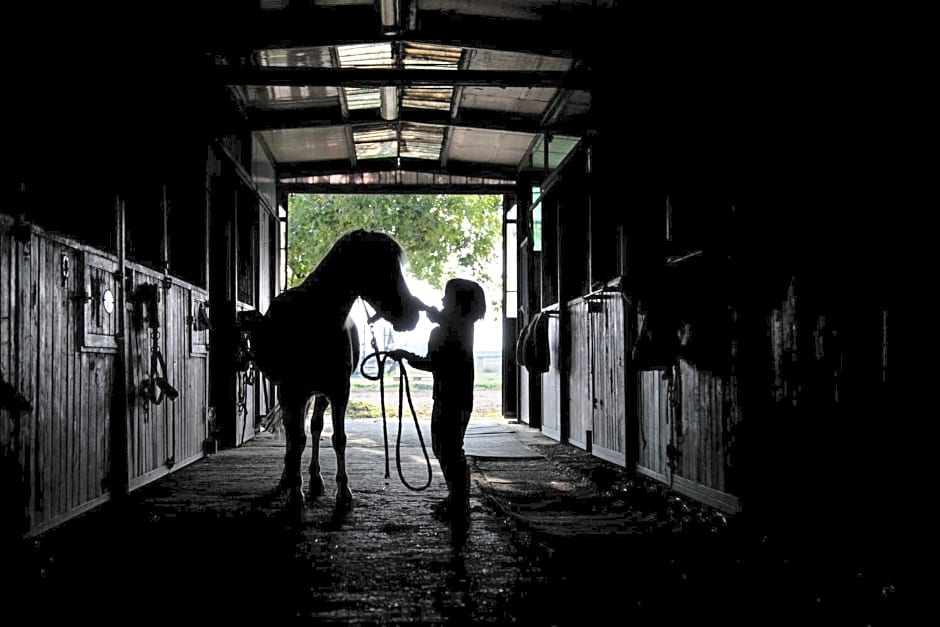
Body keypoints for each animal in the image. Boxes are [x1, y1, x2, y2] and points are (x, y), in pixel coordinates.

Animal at [250, 231, 426, 510]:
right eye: (382, 266)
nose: (412, 315)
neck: (313, 320)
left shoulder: (338, 390)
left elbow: (338, 438)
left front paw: (343, 493)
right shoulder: (292, 391)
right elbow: (296, 439)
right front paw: (295, 494)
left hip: (319, 394)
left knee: (315, 427)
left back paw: (315, 480)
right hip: (292, 394)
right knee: (293, 435)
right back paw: (287, 480)